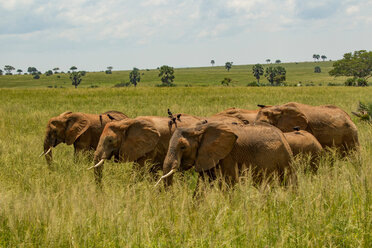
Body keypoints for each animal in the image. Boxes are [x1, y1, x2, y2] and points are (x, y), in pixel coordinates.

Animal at [158, 120, 294, 188]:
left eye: (183, 147)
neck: (200, 128)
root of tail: (283, 136)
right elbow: (202, 185)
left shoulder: (228, 155)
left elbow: (229, 183)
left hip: (285, 159)